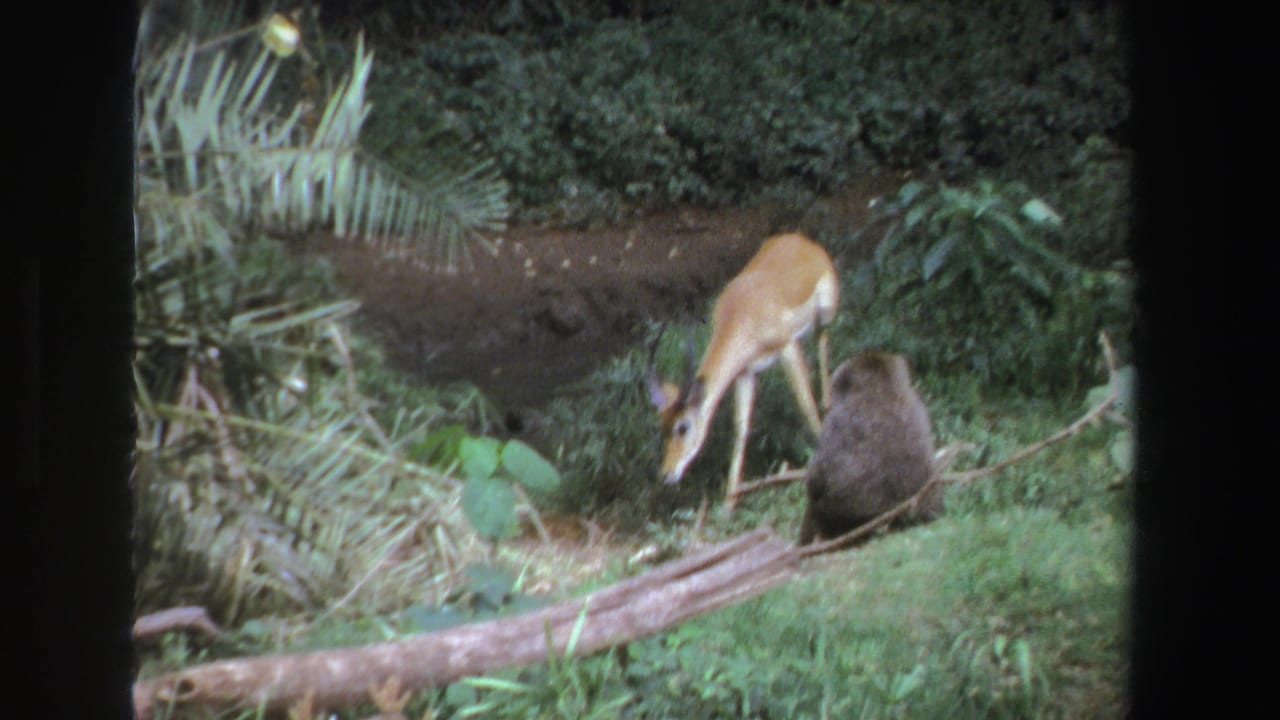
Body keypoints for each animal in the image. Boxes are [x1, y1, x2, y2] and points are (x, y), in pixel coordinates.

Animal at [646, 232, 839, 510]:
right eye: (662, 426)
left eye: (683, 427)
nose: (667, 474)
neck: (742, 313)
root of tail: (801, 240)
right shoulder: (744, 374)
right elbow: (740, 429)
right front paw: (729, 503)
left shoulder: (787, 348)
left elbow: (804, 403)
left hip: (824, 317)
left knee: (823, 344)